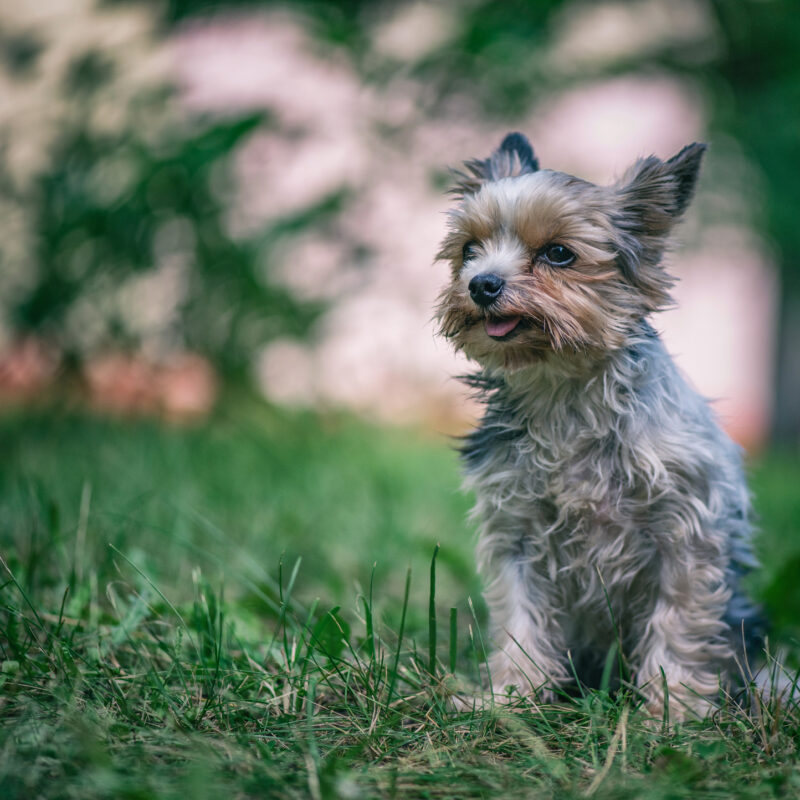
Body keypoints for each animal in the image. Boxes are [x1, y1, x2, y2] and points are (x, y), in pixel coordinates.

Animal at [438, 131, 764, 720]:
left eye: (558, 253)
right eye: (469, 249)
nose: (480, 283)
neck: (563, 392)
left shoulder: (685, 536)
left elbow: (679, 621)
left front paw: (675, 711)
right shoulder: (518, 535)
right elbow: (521, 619)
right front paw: (512, 698)